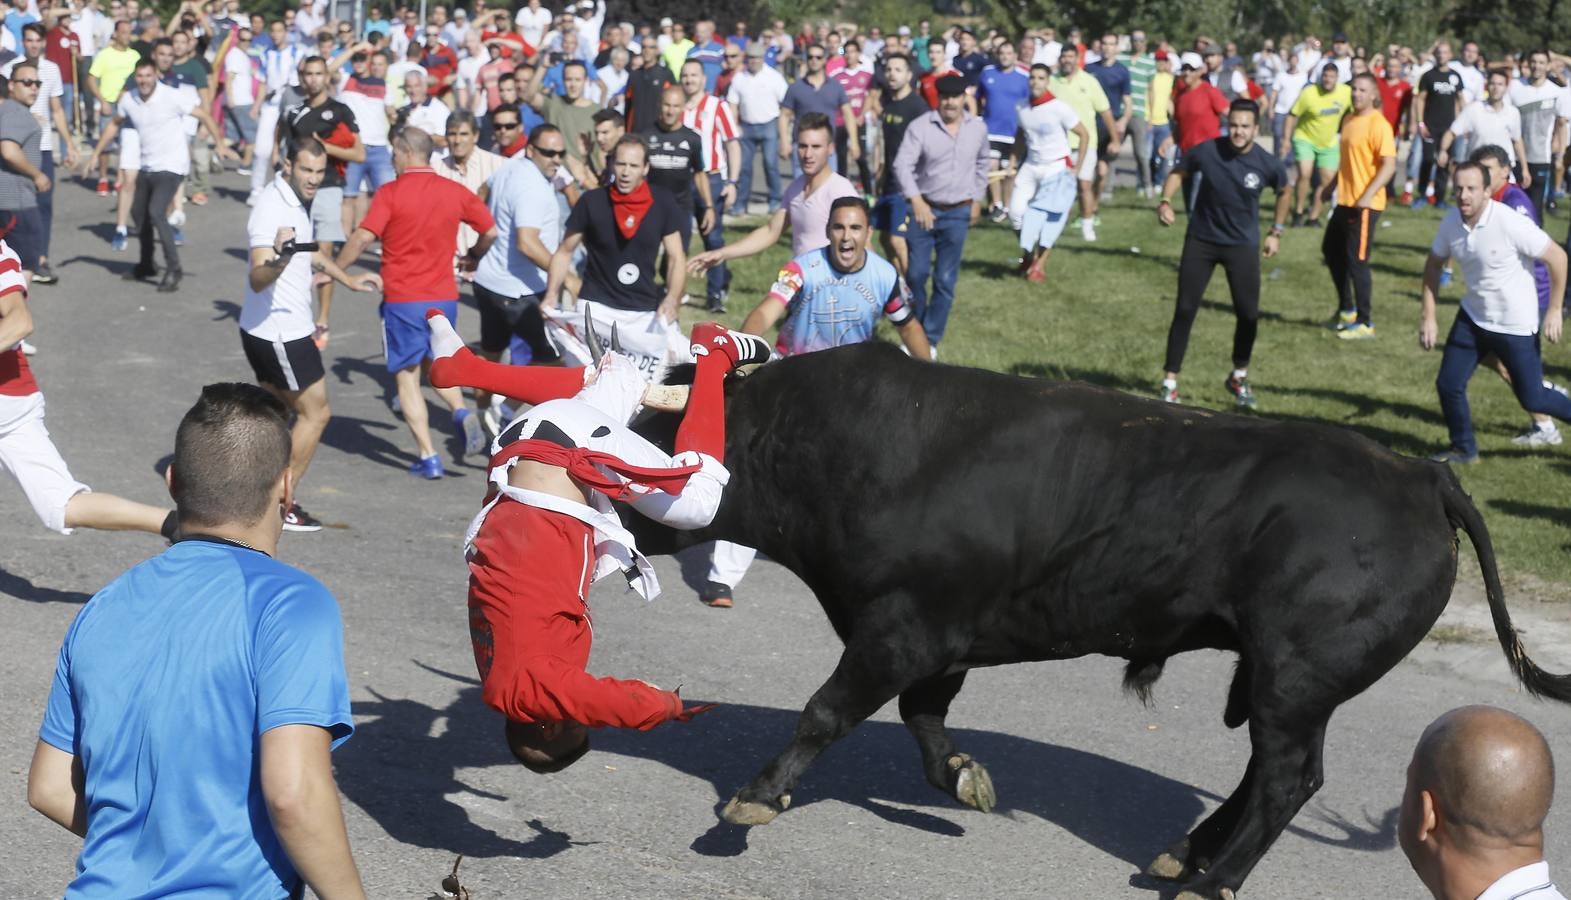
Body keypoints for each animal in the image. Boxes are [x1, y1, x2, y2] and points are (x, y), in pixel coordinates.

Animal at [618, 340, 1564, 892]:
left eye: (629, 442)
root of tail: (1420, 475)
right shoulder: (941, 636)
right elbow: (924, 718)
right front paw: (963, 777)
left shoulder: (899, 629)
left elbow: (826, 710)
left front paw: (754, 798)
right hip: (1284, 678)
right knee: (1269, 773)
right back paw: (1187, 853)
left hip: (1296, 674)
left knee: (1287, 778)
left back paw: (1209, 881)